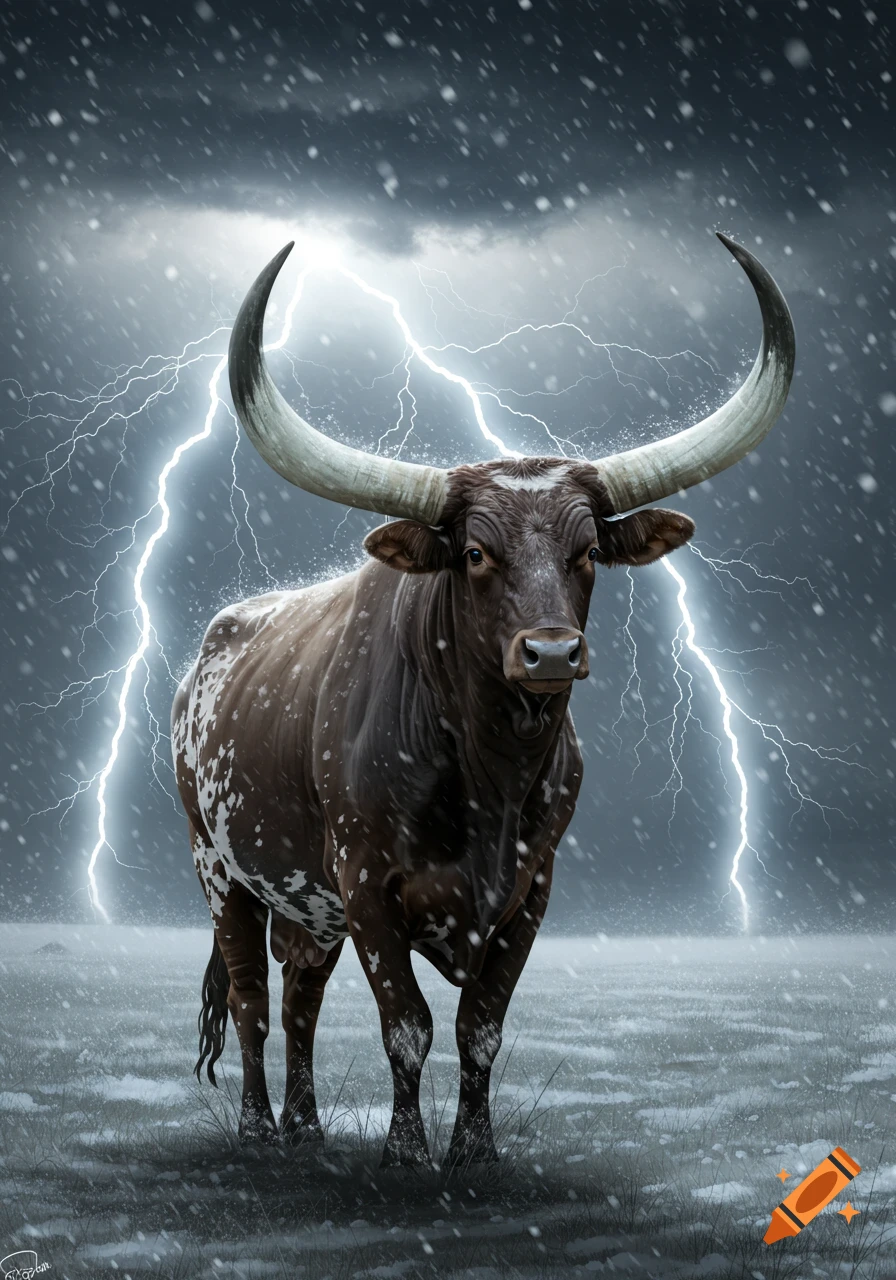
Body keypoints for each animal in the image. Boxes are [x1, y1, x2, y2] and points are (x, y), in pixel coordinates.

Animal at [172, 233, 794, 1165]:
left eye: (587, 551)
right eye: (472, 552)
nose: (551, 652)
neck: (488, 772)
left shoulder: (531, 894)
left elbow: (481, 1028)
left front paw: (474, 1150)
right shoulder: (366, 886)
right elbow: (407, 1025)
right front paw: (405, 1151)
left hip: (308, 908)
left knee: (301, 999)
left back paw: (307, 1128)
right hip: (221, 869)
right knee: (251, 1000)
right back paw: (257, 1127)